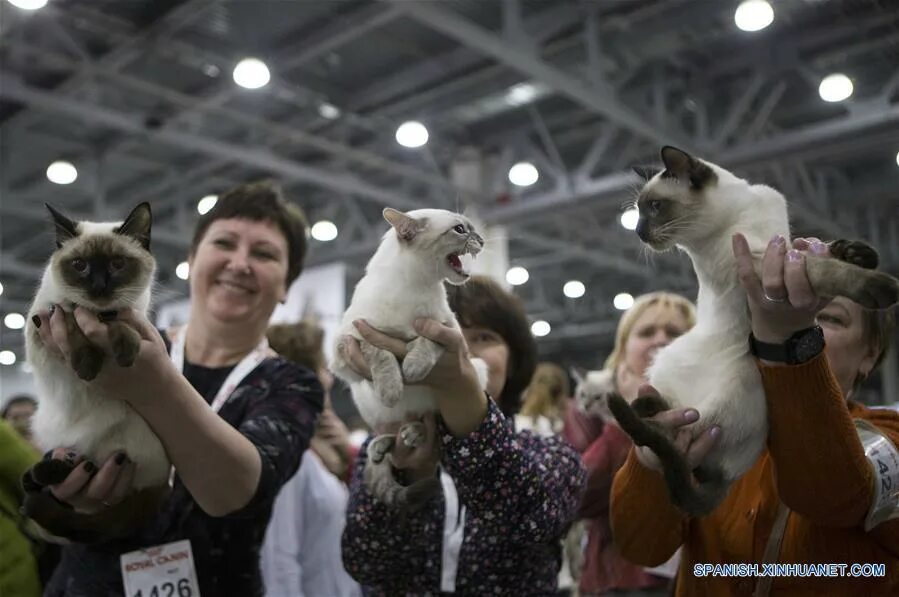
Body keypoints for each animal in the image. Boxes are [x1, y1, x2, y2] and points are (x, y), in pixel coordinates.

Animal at [21, 203, 171, 544]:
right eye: (80, 266)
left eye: (117, 264)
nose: (99, 286)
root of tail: (160, 484)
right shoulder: (42, 322)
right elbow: (72, 315)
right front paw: (87, 365)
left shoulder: (134, 314)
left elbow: (119, 322)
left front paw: (125, 352)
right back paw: (40, 474)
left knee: (90, 470)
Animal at [330, 207, 488, 510]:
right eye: (460, 229)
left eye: (472, 228)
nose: (483, 240)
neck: (414, 286)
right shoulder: (347, 344)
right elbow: (379, 351)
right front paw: (392, 387)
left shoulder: (446, 330)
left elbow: (426, 341)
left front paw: (413, 366)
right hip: (364, 398)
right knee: (394, 428)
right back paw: (383, 444)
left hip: (477, 369)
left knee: (430, 424)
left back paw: (414, 433)